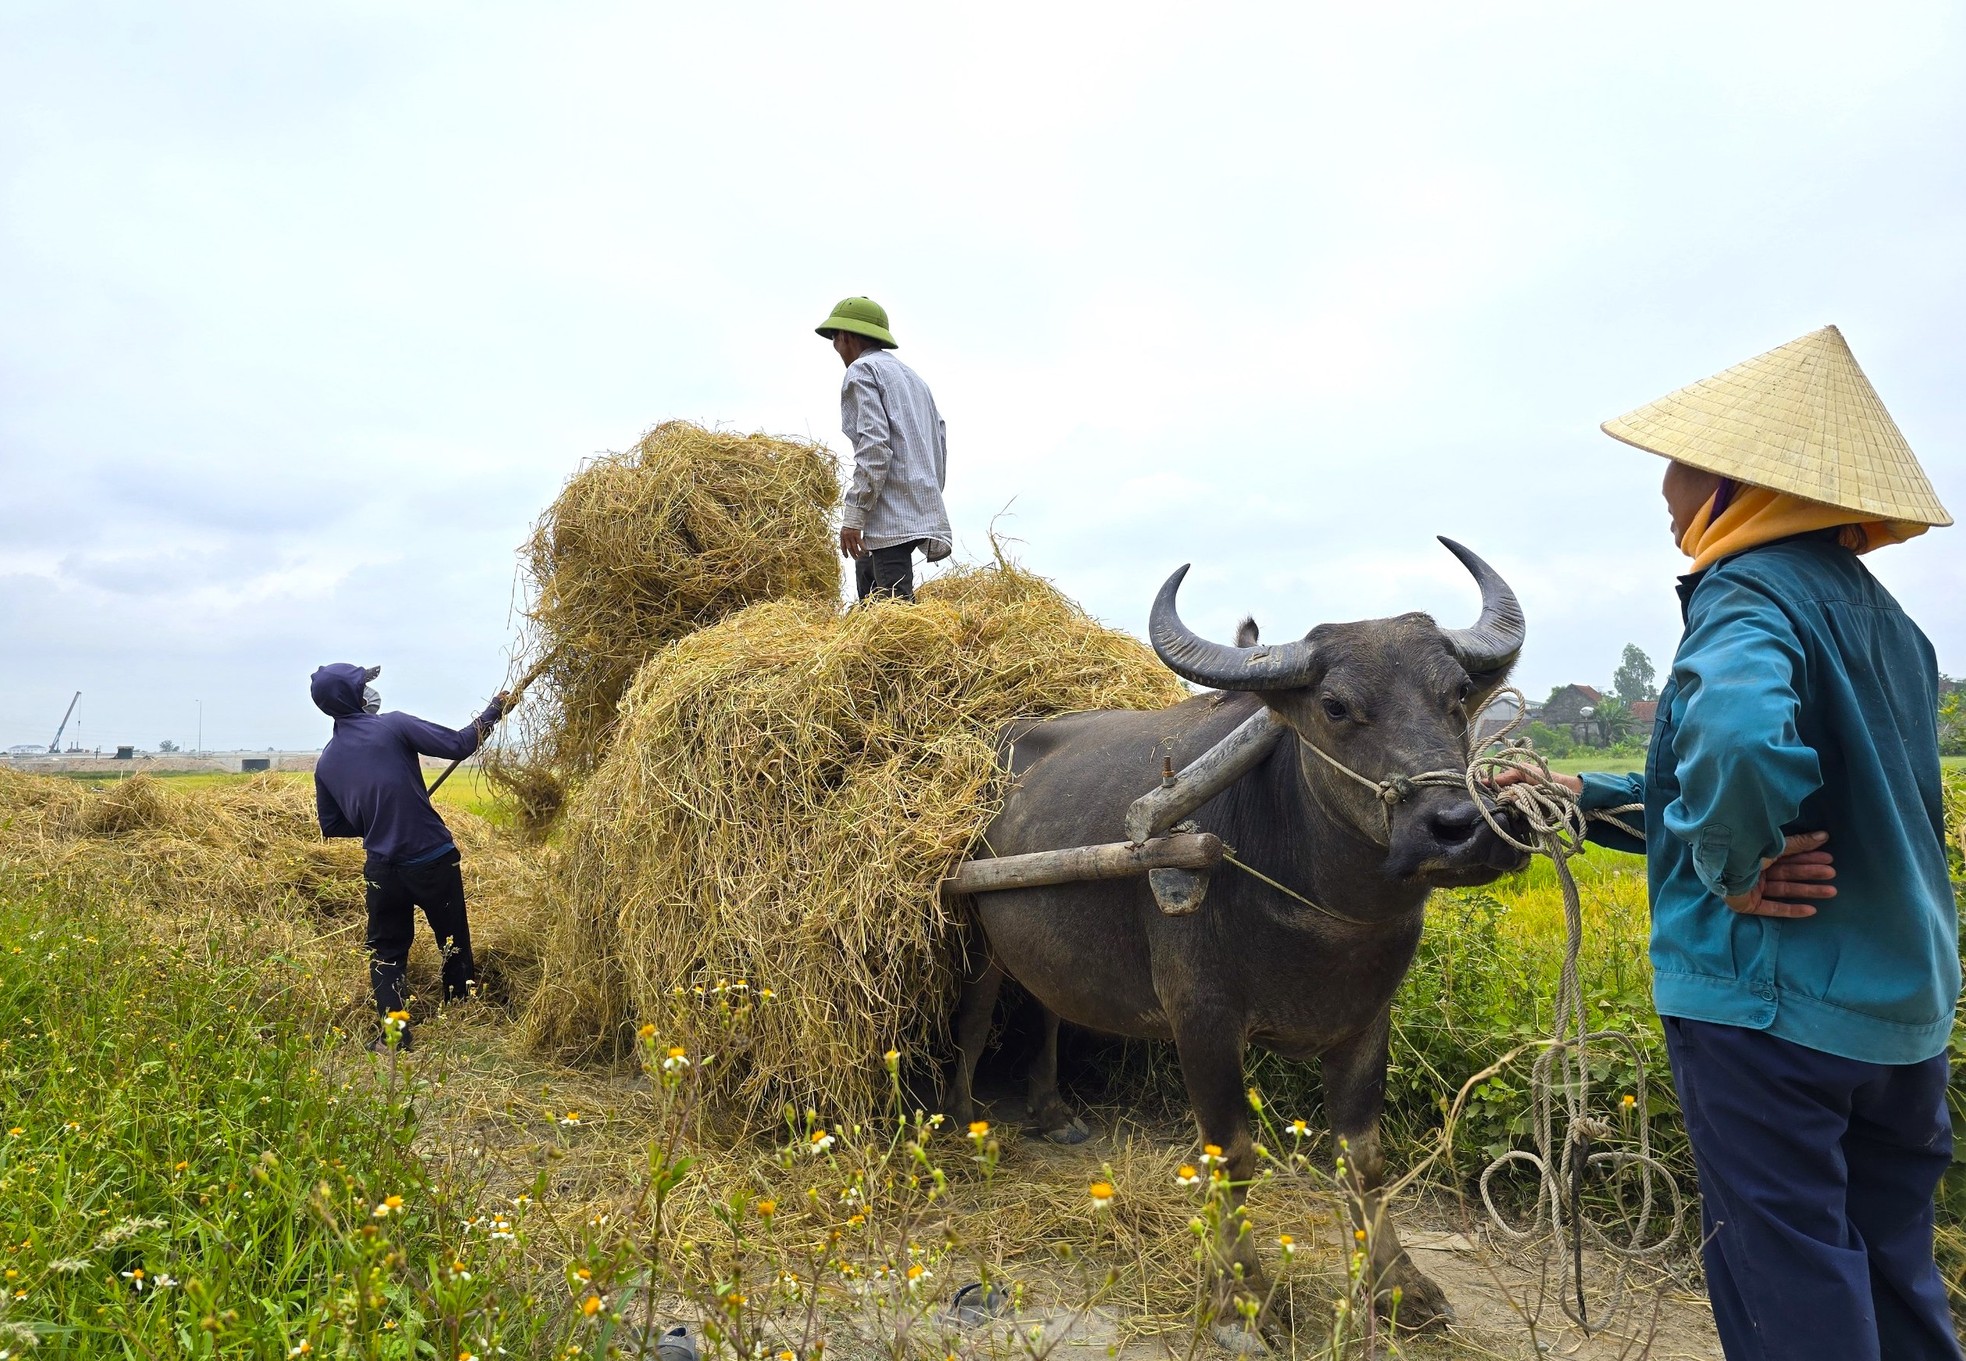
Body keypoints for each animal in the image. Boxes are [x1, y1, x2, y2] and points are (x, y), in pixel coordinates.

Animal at [951, 538, 1533, 1329]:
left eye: (1458, 695)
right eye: (1335, 705)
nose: (1461, 828)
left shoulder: (1367, 1018)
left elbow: (1364, 1155)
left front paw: (1399, 1282)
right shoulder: (1201, 1017)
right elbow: (1232, 1153)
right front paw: (1241, 1294)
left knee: (1044, 1006)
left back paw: (1052, 1111)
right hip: (976, 934)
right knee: (976, 1016)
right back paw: (961, 1117)